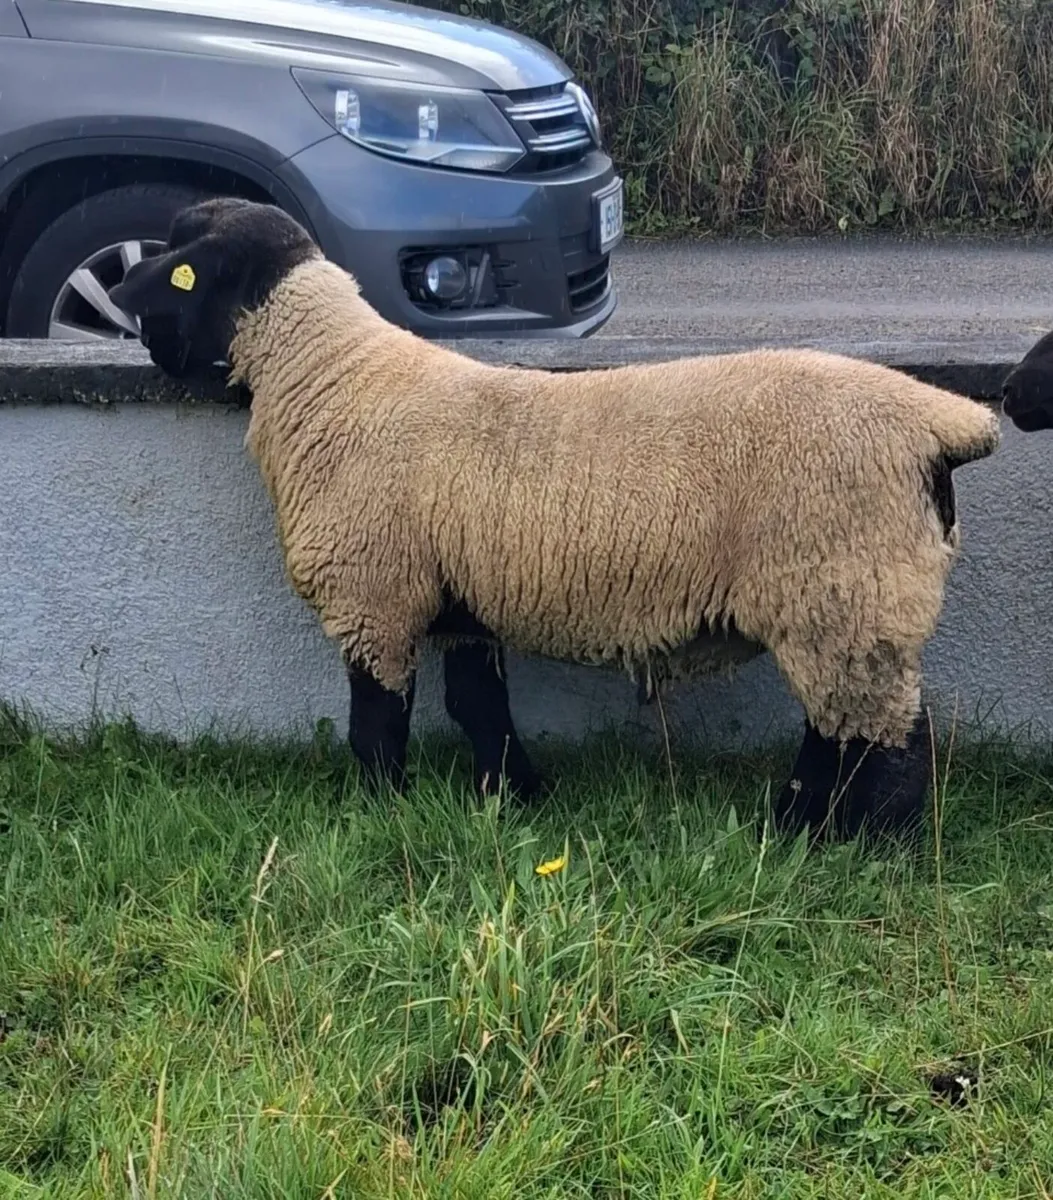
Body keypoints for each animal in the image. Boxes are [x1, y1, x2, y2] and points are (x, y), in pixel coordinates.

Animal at [108, 197, 1001, 844]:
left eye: (184, 268)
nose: (120, 304)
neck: (334, 379)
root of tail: (943, 423)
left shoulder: (376, 599)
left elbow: (377, 723)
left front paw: (378, 811)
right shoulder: (460, 604)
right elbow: (479, 709)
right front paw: (512, 798)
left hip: (844, 588)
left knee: (883, 739)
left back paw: (861, 845)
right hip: (846, 604)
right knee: (842, 728)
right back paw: (795, 827)